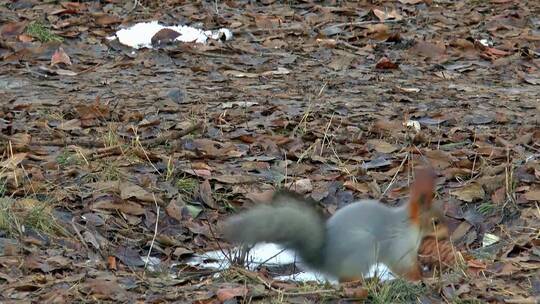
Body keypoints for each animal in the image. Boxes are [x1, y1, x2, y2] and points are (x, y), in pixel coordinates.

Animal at [221, 167, 450, 282]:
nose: (448, 235)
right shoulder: (398, 246)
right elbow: (402, 266)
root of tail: (325, 263)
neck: (410, 226)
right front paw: (420, 277)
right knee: (347, 279)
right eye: (435, 222)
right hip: (363, 248)